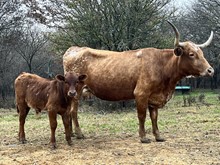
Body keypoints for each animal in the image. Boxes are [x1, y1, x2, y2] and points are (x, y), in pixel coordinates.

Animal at [62, 21, 214, 143]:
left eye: (202, 53)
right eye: (191, 54)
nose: (210, 70)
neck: (162, 65)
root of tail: (74, 49)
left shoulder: (154, 97)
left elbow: (154, 117)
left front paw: (158, 136)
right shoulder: (141, 93)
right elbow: (142, 116)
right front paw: (143, 137)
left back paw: (72, 134)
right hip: (76, 91)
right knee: (73, 111)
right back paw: (79, 134)